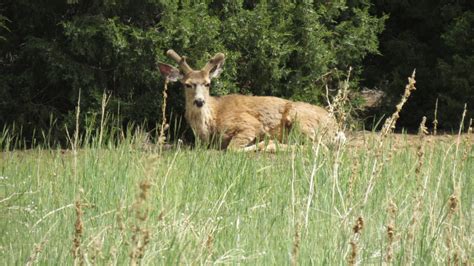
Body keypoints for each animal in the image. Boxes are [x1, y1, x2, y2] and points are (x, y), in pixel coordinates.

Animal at [159, 48, 336, 151]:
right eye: (187, 84)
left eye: (207, 83)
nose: (199, 101)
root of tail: (335, 125)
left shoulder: (249, 124)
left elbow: (232, 148)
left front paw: (263, 143)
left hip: (300, 119)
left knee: (319, 147)